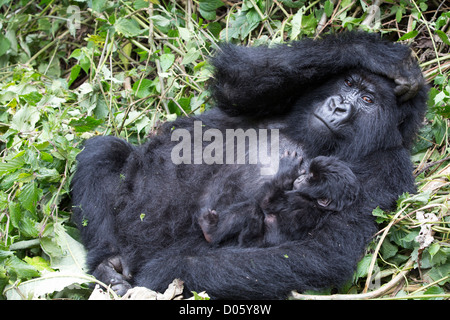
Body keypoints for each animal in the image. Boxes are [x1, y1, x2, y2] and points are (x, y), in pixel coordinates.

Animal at [199, 151, 360, 246]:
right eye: (308, 174)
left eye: (309, 179)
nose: (300, 178)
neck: (315, 203)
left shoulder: (297, 199)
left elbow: (266, 203)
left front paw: (287, 171)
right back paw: (211, 230)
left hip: (251, 241)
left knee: (252, 209)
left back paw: (210, 232)